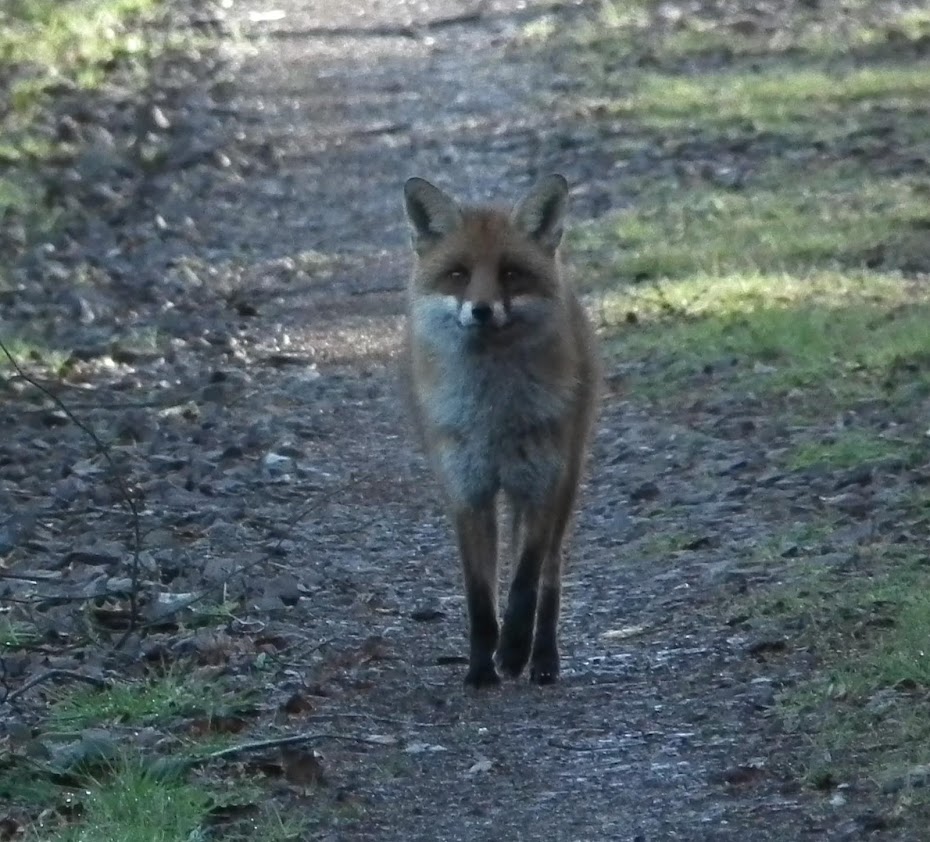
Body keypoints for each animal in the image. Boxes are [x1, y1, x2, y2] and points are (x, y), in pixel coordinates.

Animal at [402, 174, 600, 684]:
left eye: (511, 273)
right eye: (458, 274)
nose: (482, 310)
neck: (494, 419)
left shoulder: (543, 485)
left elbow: (524, 583)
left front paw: (512, 651)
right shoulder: (467, 493)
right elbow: (479, 598)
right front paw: (479, 669)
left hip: (567, 480)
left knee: (551, 576)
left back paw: (543, 659)